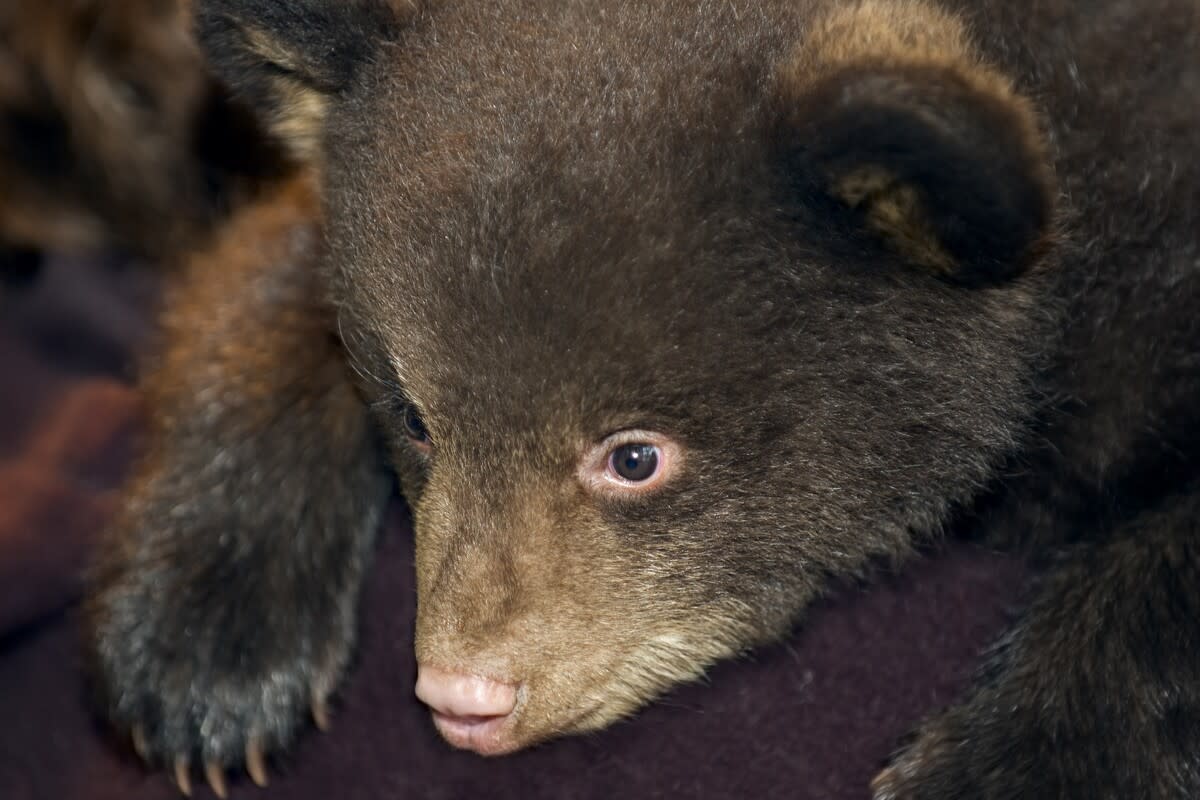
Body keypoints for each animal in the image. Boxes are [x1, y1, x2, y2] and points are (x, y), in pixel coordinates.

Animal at [86, 0, 1200, 798]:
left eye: (634, 456)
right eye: (415, 418)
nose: (465, 693)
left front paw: (1010, 763)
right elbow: (266, 270)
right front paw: (206, 644)